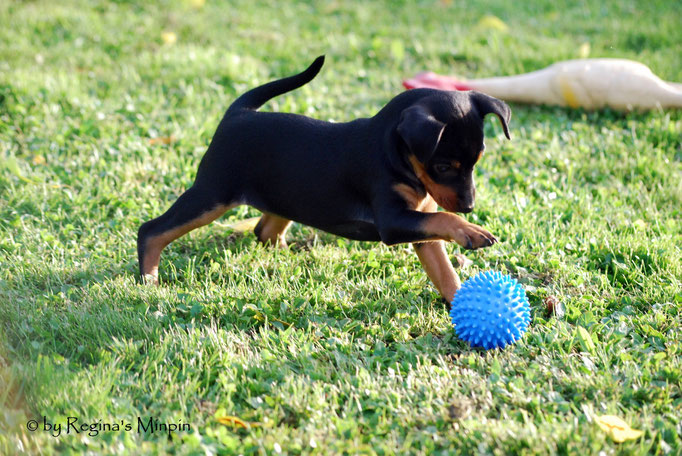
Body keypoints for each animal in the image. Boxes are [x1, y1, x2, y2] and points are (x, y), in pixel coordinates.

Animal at [139, 55, 510, 302]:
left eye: (478, 160)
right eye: (443, 166)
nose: (469, 206)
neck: (394, 153)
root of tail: (238, 114)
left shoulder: (421, 226)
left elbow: (444, 271)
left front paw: (460, 304)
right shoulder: (394, 221)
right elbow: (443, 219)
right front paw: (471, 231)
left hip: (286, 195)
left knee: (265, 230)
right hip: (212, 194)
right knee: (153, 230)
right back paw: (149, 279)